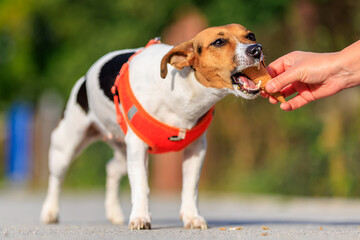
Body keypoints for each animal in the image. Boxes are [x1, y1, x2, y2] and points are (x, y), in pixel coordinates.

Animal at [40, 23, 264, 230]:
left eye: (251, 35)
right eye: (219, 42)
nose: (256, 49)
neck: (184, 90)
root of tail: (84, 79)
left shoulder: (196, 149)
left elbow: (190, 188)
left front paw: (192, 217)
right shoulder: (138, 148)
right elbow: (141, 186)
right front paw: (140, 218)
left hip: (124, 152)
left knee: (111, 169)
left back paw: (114, 212)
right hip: (65, 147)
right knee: (56, 179)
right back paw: (50, 212)